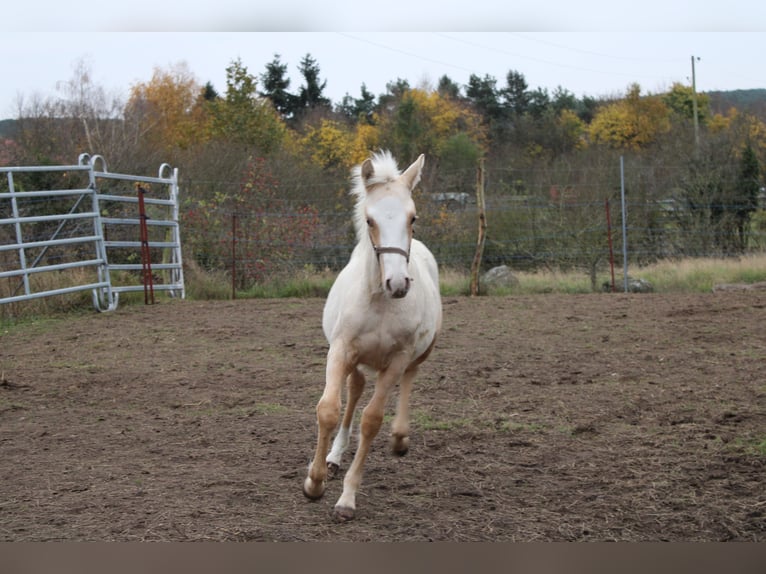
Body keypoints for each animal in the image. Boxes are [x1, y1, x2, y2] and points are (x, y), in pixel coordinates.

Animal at [302, 151, 440, 524]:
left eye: (412, 218)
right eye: (369, 220)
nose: (398, 283)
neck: (379, 301)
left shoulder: (396, 360)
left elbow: (372, 420)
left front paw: (347, 499)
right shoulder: (340, 350)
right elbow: (329, 410)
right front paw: (315, 481)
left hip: (418, 353)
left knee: (409, 378)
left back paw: (400, 437)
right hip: (356, 357)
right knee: (355, 389)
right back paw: (334, 457)